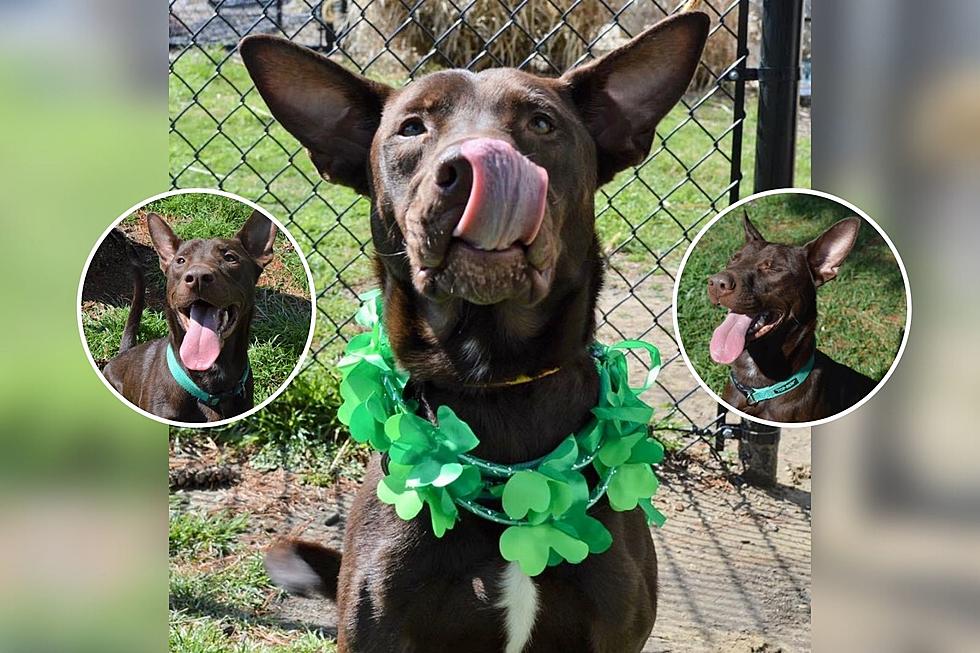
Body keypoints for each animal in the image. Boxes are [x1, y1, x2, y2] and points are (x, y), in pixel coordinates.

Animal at [242, 11, 708, 652]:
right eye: (412, 127)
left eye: (541, 123)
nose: (469, 168)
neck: (495, 383)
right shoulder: (379, 628)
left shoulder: (615, 630)